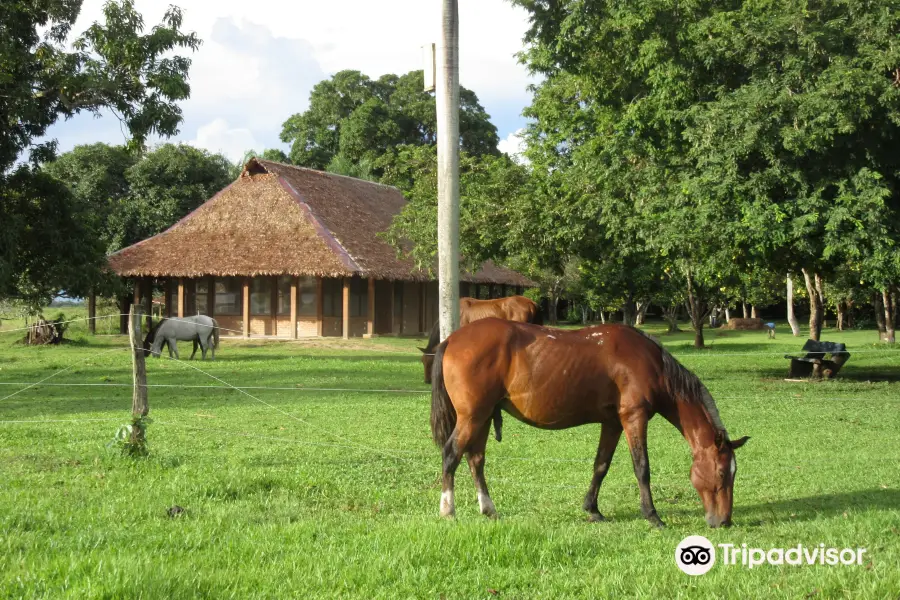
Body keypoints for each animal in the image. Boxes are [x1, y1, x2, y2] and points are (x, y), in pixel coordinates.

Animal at [432, 318, 748, 524]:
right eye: (722, 473)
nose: (725, 521)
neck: (651, 363)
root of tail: (452, 339)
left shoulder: (613, 423)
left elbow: (601, 465)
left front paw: (593, 509)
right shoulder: (634, 417)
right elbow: (642, 468)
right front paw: (652, 516)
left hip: (484, 416)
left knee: (475, 459)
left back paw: (488, 508)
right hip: (472, 417)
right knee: (451, 454)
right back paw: (448, 509)